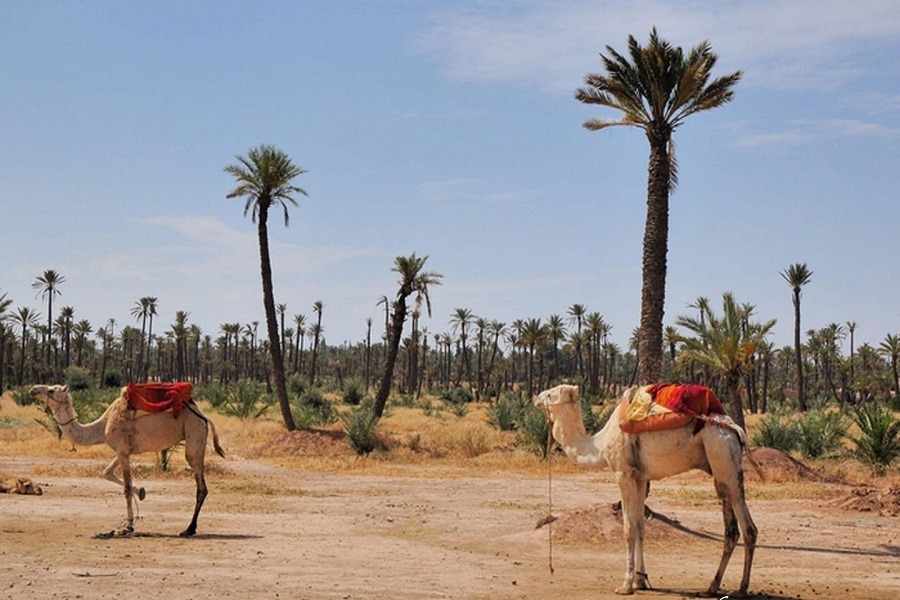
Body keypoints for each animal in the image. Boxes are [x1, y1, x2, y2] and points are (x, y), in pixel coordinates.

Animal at [29, 382, 225, 536]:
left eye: (52, 390)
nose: (32, 389)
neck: (102, 425)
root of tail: (204, 417)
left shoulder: (122, 449)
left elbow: (126, 487)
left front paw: (128, 525)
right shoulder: (123, 450)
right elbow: (107, 472)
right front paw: (142, 492)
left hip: (194, 435)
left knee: (201, 486)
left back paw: (189, 529)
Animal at [536, 384, 760, 596]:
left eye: (552, 394)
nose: (536, 397)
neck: (598, 445)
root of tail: (735, 430)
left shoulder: (623, 475)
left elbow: (628, 529)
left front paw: (626, 585)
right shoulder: (640, 479)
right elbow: (640, 527)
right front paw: (640, 580)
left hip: (724, 458)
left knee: (748, 527)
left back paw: (742, 588)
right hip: (720, 469)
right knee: (731, 530)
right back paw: (713, 586)